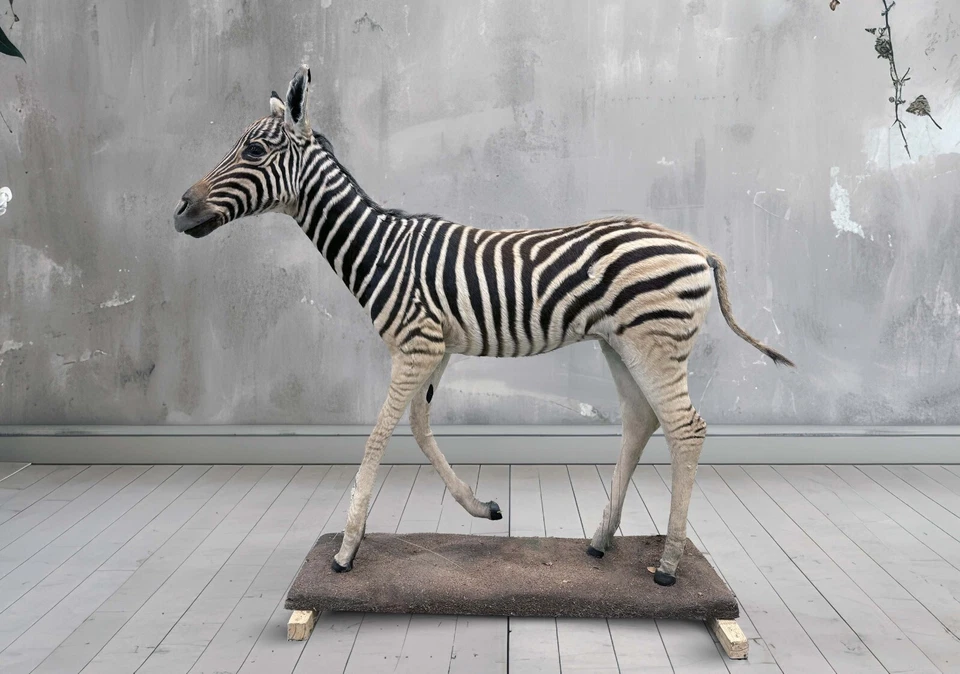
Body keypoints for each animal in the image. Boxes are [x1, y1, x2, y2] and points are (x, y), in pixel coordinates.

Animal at [174, 65, 794, 587]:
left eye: (255, 149)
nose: (179, 211)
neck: (379, 249)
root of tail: (699, 247)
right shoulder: (436, 349)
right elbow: (420, 429)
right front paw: (481, 507)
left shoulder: (415, 346)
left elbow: (378, 436)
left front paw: (346, 549)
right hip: (620, 345)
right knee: (642, 421)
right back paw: (599, 541)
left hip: (655, 343)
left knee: (686, 429)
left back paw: (667, 565)